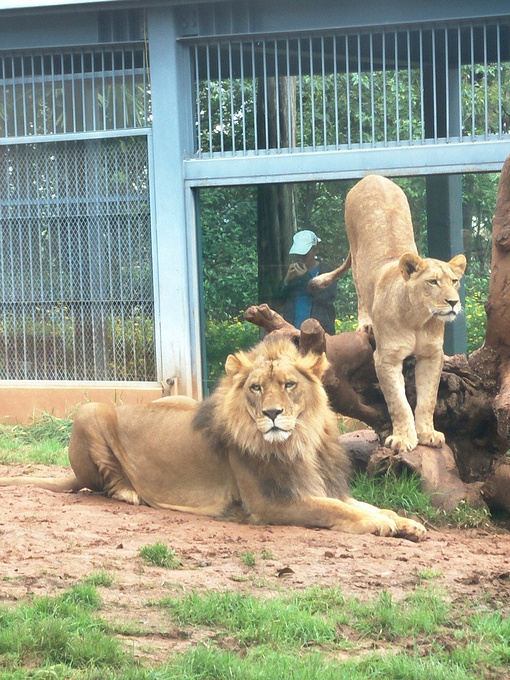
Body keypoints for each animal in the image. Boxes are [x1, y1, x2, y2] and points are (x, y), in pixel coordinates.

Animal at [0, 334, 426, 540]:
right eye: (256, 388)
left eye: (289, 385)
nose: (272, 414)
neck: (300, 442)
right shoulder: (270, 504)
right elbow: (336, 510)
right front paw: (379, 525)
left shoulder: (323, 485)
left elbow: (366, 505)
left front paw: (406, 523)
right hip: (91, 411)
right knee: (103, 482)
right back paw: (128, 493)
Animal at [306, 174, 466, 452]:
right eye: (433, 282)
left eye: (454, 281)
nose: (453, 302)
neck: (418, 320)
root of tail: (373, 176)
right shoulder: (386, 358)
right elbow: (398, 402)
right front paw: (403, 438)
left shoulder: (432, 355)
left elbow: (428, 398)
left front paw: (428, 433)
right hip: (356, 253)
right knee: (360, 290)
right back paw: (365, 324)